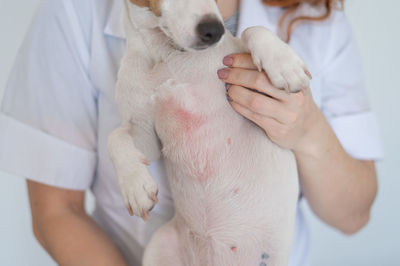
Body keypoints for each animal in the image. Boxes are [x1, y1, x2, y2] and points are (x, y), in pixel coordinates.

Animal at [108, 1, 310, 264]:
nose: (214, 31)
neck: (167, 53)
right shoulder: (144, 134)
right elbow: (116, 137)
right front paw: (134, 185)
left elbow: (252, 30)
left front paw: (283, 63)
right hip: (159, 245)